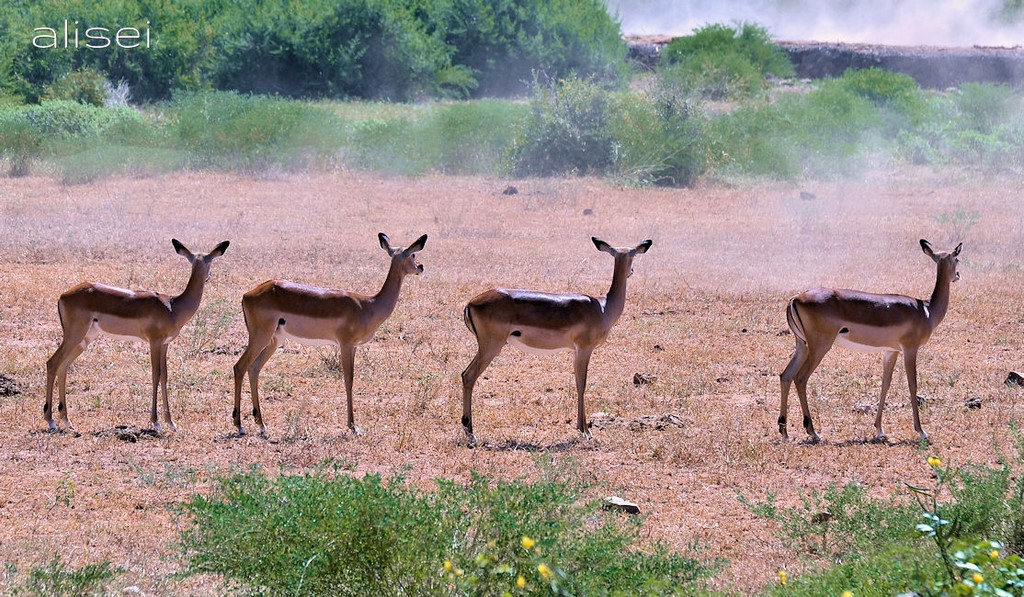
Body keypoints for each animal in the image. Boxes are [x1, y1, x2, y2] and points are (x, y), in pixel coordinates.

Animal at [44, 239, 231, 432]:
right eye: (209, 262)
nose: (209, 277)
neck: (173, 306)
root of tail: (63, 295)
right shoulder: (154, 342)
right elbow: (155, 374)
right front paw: (156, 422)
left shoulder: (165, 344)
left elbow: (164, 376)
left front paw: (171, 422)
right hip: (74, 336)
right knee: (52, 363)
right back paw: (50, 421)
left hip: (84, 340)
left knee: (63, 366)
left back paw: (67, 420)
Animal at [232, 233, 427, 436]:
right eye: (413, 254)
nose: (421, 267)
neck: (368, 305)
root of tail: (247, 295)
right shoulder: (346, 344)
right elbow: (349, 379)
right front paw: (353, 426)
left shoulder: (353, 347)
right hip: (260, 337)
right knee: (239, 367)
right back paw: (239, 425)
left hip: (274, 340)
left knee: (254, 369)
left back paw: (261, 424)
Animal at [460, 237, 653, 447]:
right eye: (632, 255)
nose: (631, 271)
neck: (603, 307)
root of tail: (470, 303)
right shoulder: (584, 349)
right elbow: (582, 383)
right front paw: (585, 432)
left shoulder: (576, 351)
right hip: (491, 346)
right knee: (468, 376)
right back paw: (471, 435)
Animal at [779, 239, 962, 443]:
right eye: (957, 258)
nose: (957, 276)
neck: (926, 311)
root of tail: (795, 298)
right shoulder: (910, 349)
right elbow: (912, 384)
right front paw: (921, 431)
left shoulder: (891, 351)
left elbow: (885, 383)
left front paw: (879, 430)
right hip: (819, 347)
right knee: (800, 378)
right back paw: (813, 432)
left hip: (802, 346)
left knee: (785, 375)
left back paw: (784, 431)